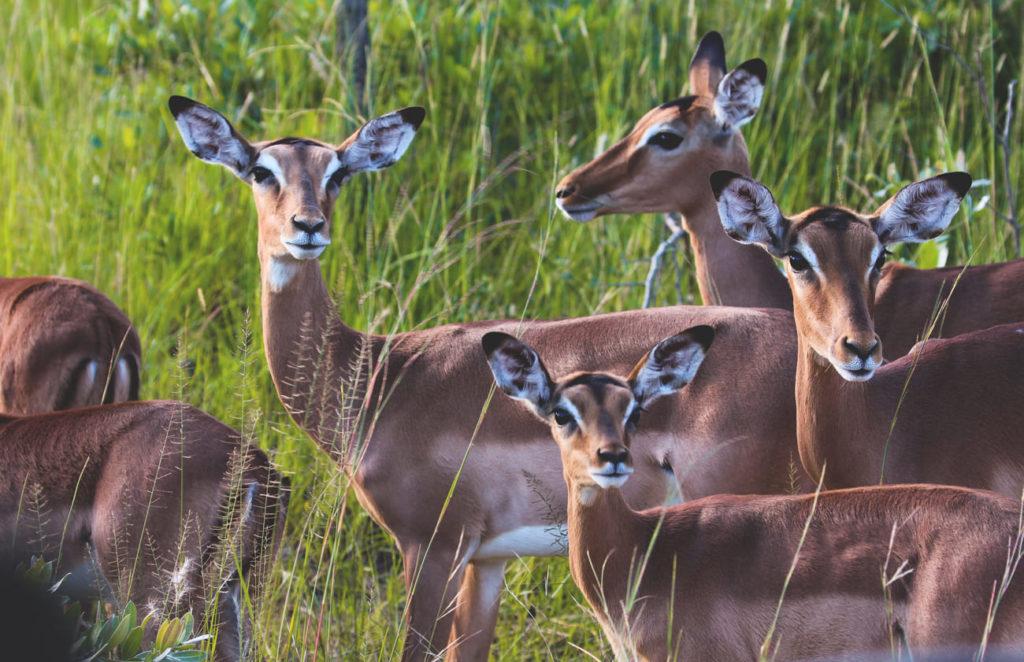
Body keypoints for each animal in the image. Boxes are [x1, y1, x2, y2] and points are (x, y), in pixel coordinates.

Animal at [168, 95, 811, 660]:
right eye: (260, 171)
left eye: (338, 173)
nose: (307, 226)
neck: (375, 378)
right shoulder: (488, 560)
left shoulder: (432, 548)